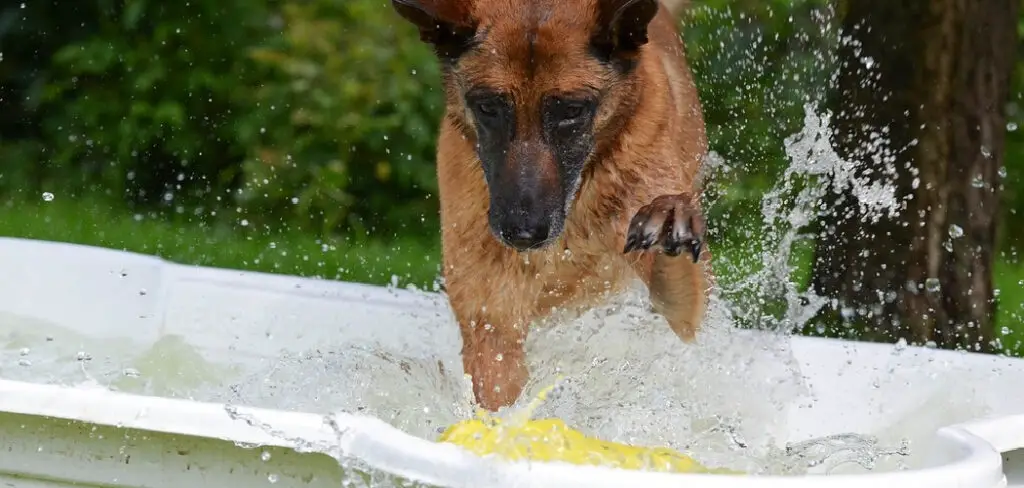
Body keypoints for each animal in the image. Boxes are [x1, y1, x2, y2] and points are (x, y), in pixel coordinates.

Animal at [391, 0, 712, 411]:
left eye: (572, 110)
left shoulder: (685, 311)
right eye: (488, 107)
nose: (523, 232)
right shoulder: (492, 321)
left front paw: (670, 217)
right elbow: (499, 393)